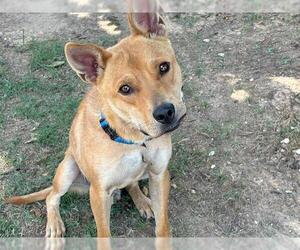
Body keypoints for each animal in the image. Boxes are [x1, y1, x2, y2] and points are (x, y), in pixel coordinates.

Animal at [5, 0, 186, 238]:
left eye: (164, 67)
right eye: (125, 89)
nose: (165, 113)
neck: (134, 141)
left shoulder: (158, 175)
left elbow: (162, 228)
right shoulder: (99, 193)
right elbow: (103, 236)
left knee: (131, 184)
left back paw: (142, 201)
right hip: (68, 170)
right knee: (51, 196)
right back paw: (54, 225)